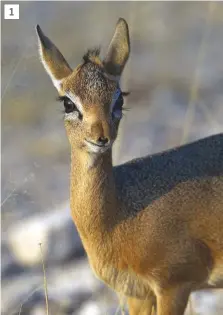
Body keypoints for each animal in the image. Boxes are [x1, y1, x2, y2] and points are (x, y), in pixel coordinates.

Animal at [36, 19, 223, 315]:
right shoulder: (138, 295)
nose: (101, 137)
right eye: (68, 102)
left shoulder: (174, 286)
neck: (116, 218)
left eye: (119, 98)